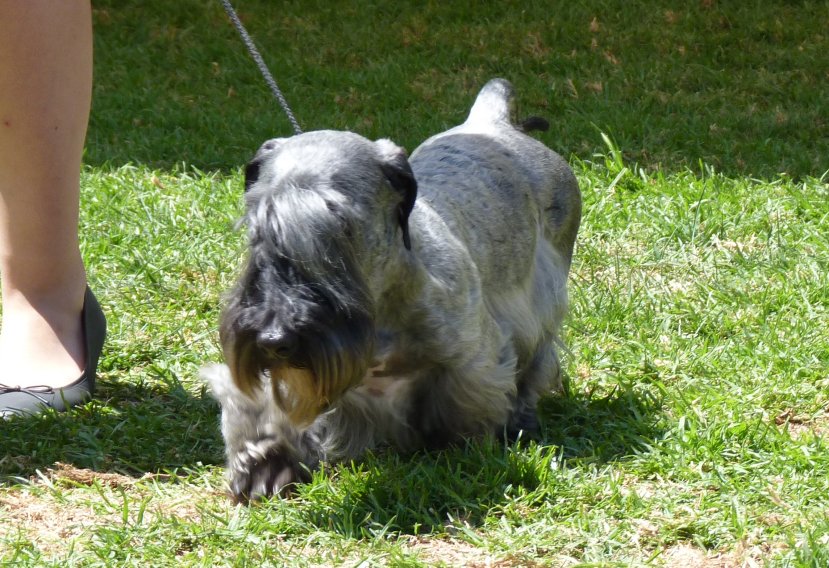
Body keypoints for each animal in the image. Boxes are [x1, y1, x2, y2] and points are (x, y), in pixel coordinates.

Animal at [201, 78, 581, 502]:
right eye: (258, 226)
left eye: (340, 223)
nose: (273, 339)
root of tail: (492, 122)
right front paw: (266, 464)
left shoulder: (473, 362)